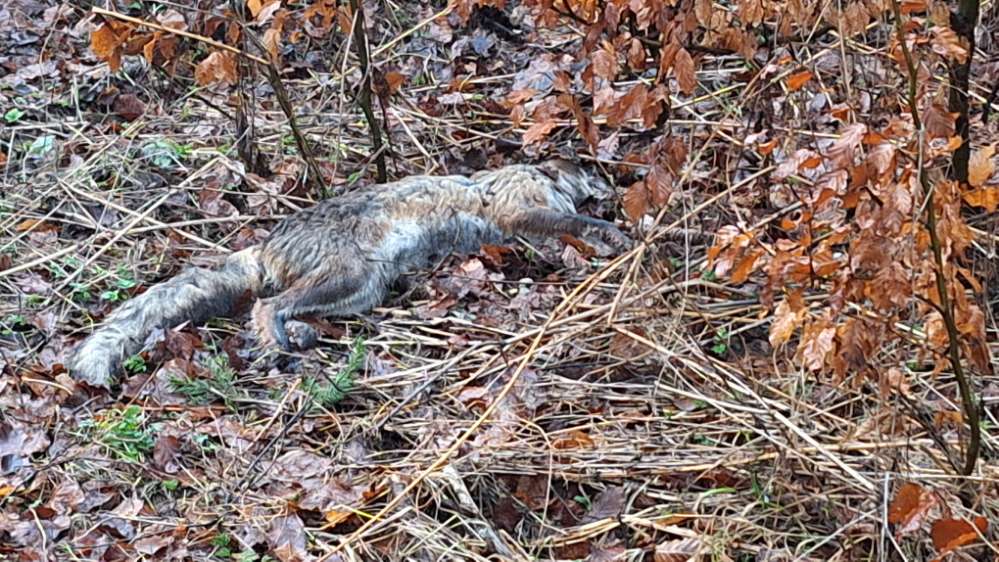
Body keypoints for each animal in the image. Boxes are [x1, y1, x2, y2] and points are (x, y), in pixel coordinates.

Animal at [65, 159, 631, 387]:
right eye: (594, 170)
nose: (620, 186)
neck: (538, 178)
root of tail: (266, 243)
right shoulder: (520, 211)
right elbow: (578, 223)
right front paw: (616, 234)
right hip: (350, 277)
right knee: (265, 306)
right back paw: (279, 343)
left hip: (361, 290)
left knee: (280, 309)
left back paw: (294, 338)